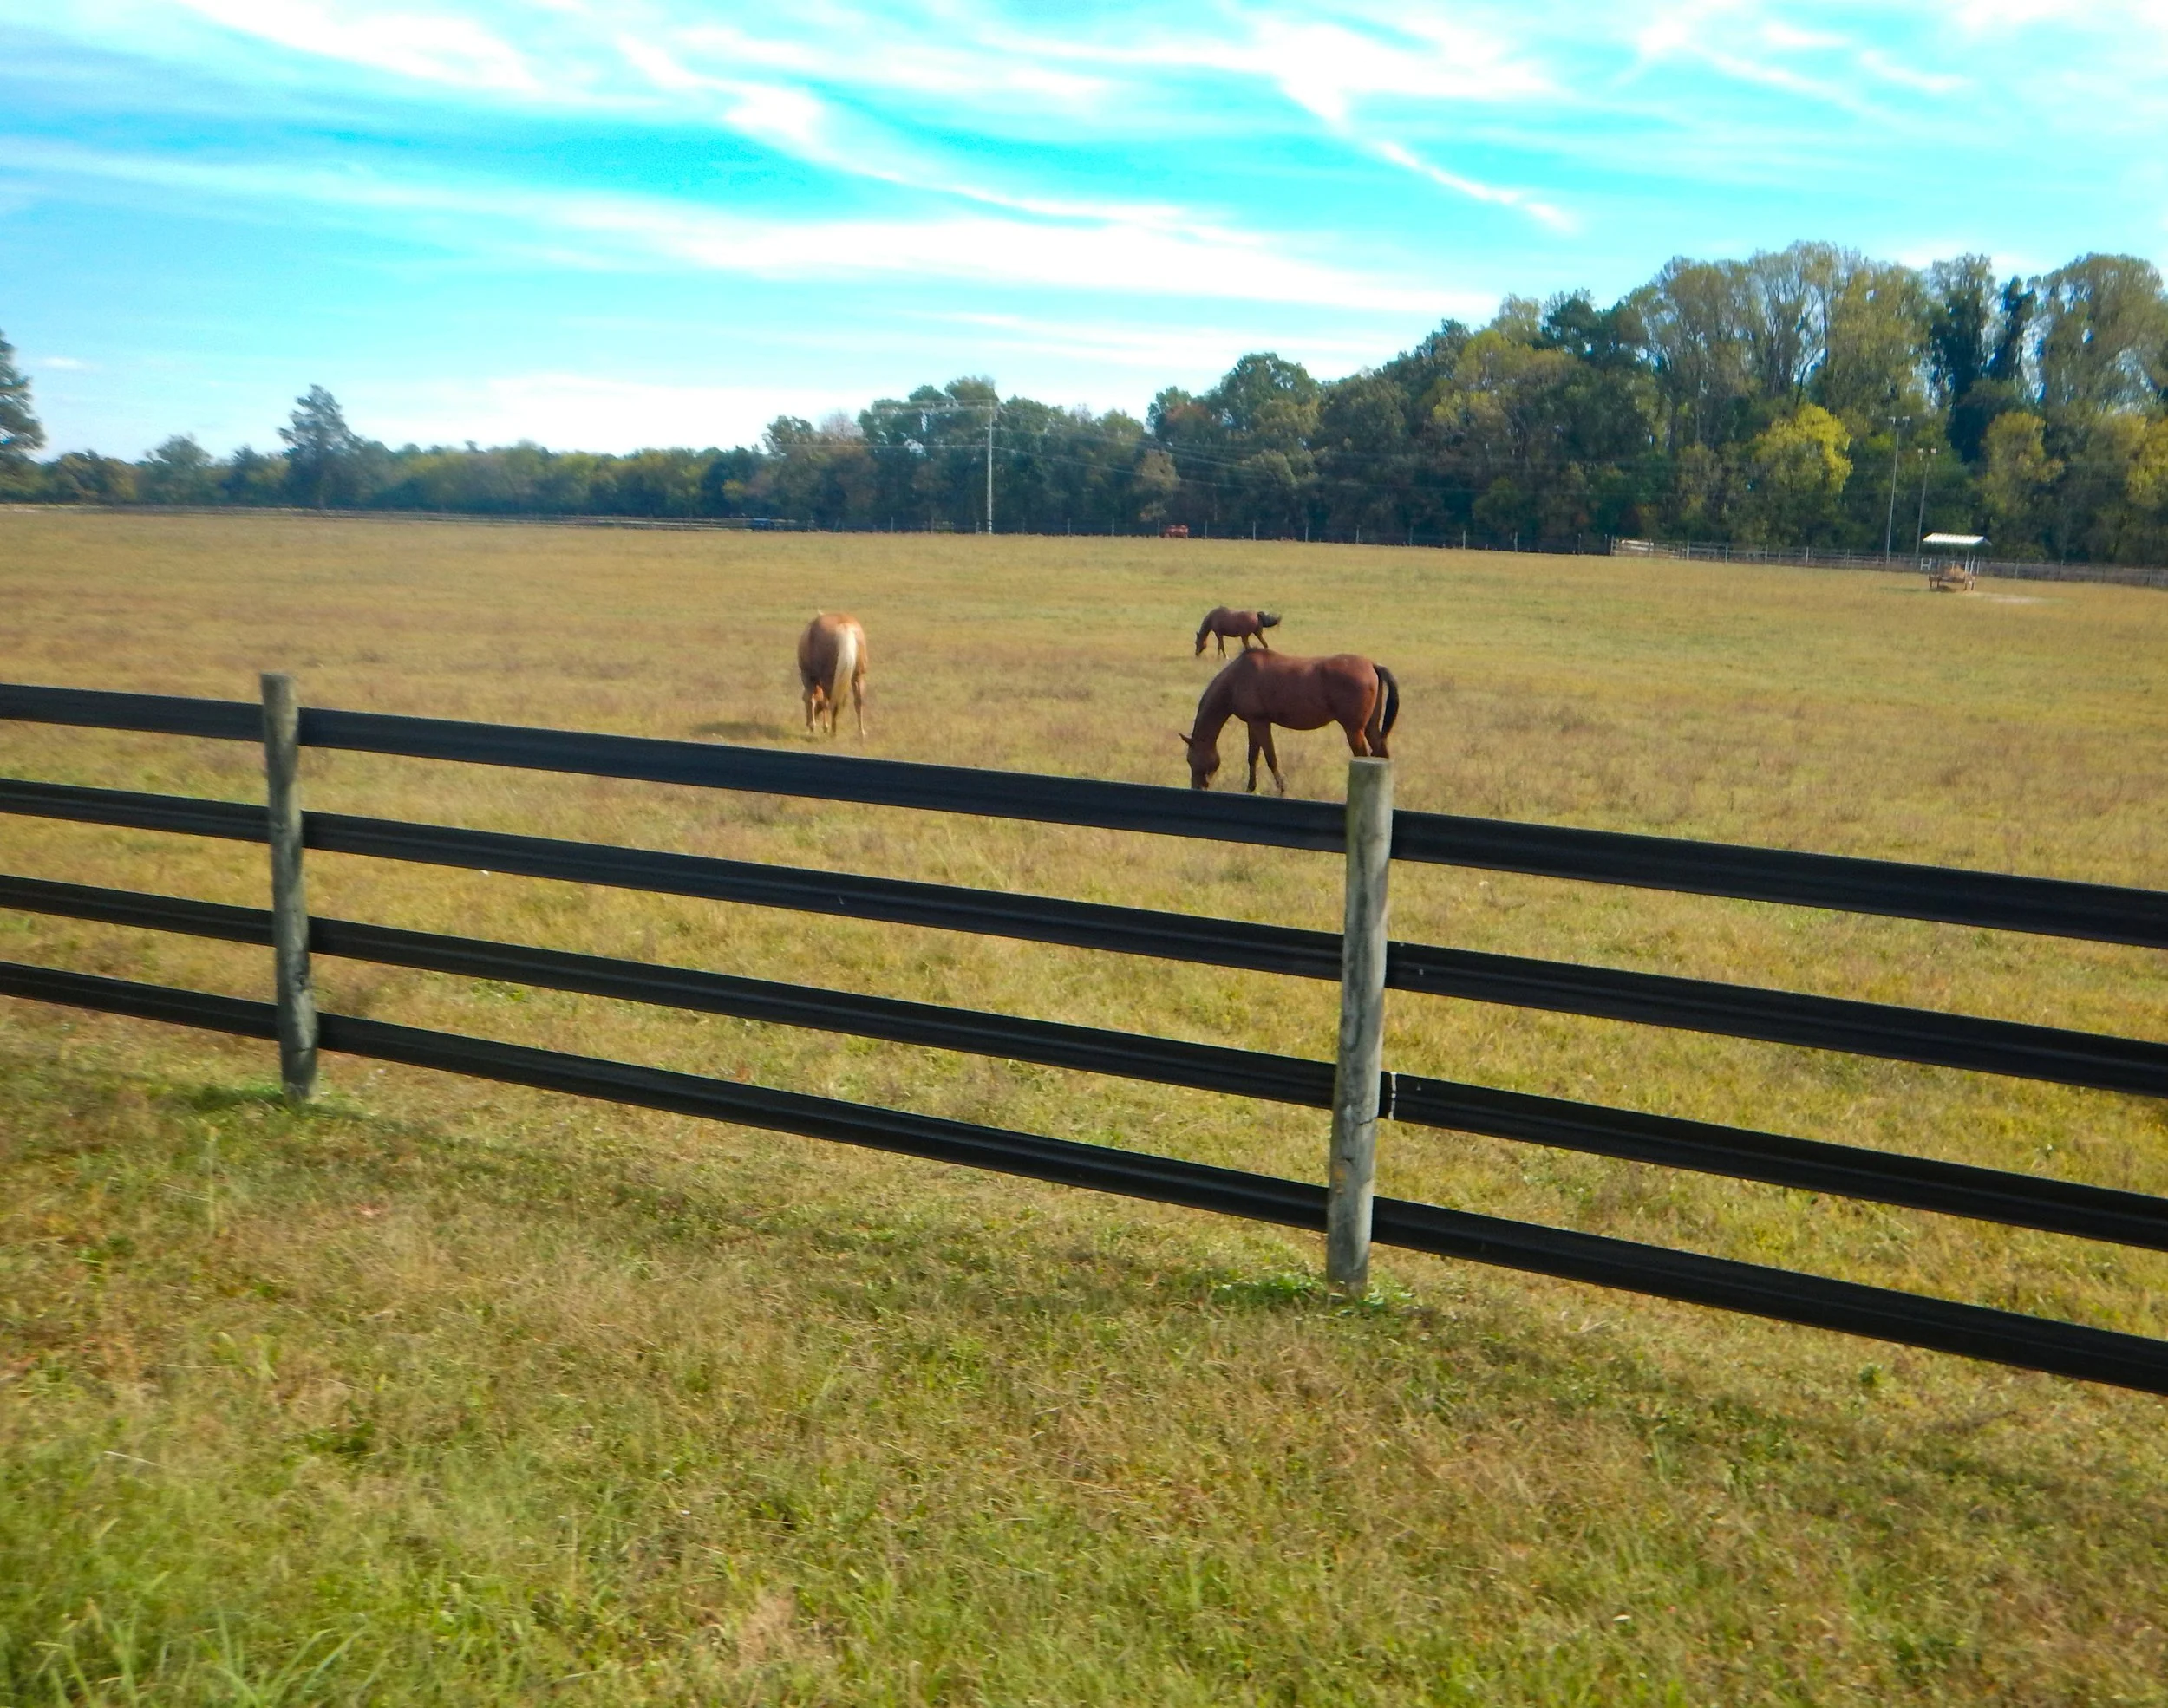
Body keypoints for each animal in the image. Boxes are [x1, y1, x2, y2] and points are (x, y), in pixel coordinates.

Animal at [796, 611, 868, 737]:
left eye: (802, 700)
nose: (807, 723)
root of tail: (844, 627)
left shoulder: (808, 677)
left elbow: (811, 699)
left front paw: (815, 726)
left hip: (828, 679)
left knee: (833, 703)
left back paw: (832, 733)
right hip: (857, 677)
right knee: (858, 701)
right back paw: (861, 732)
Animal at [1178, 650, 1398, 792]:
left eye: (1191, 759)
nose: (1197, 787)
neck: (1236, 678)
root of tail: (1372, 665)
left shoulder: (1261, 722)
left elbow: (1270, 757)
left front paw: (1282, 788)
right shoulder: (1253, 723)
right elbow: (1252, 757)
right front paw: (1251, 788)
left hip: (1354, 730)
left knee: (1363, 755)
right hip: (1370, 727)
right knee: (1381, 752)